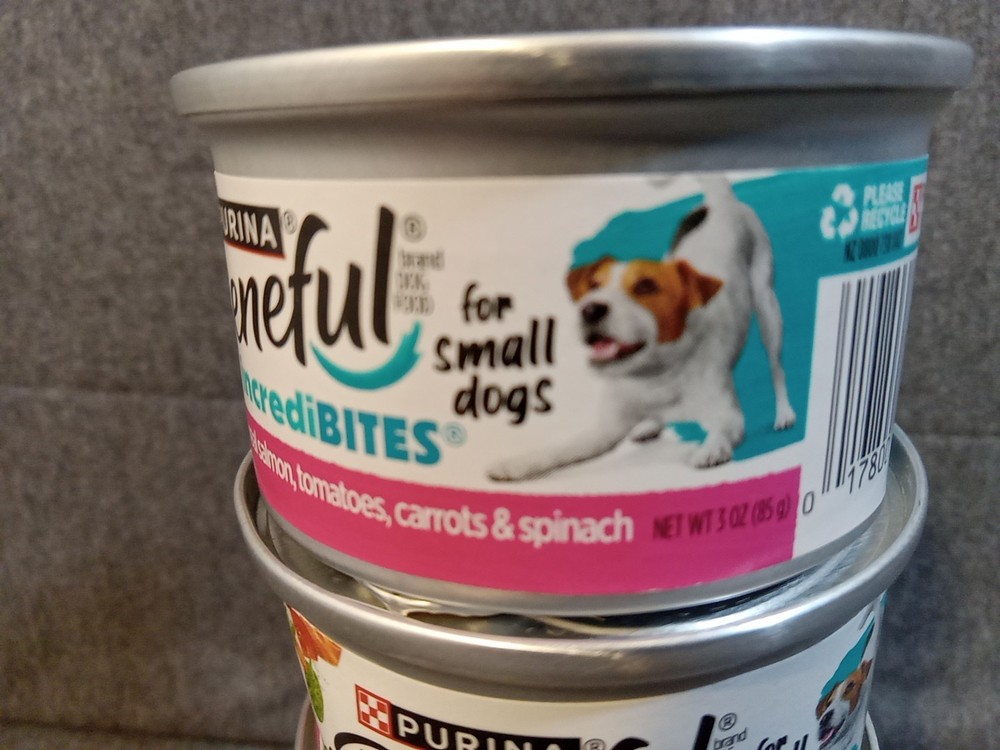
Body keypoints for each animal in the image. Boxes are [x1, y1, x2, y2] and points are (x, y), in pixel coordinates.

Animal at [488, 176, 795, 482]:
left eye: (646, 286)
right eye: (593, 285)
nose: (590, 309)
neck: (654, 377)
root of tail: (720, 200)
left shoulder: (728, 415)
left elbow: (722, 430)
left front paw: (710, 450)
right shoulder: (604, 430)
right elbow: (560, 450)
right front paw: (517, 464)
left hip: (767, 304)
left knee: (777, 367)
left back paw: (784, 413)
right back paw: (649, 426)